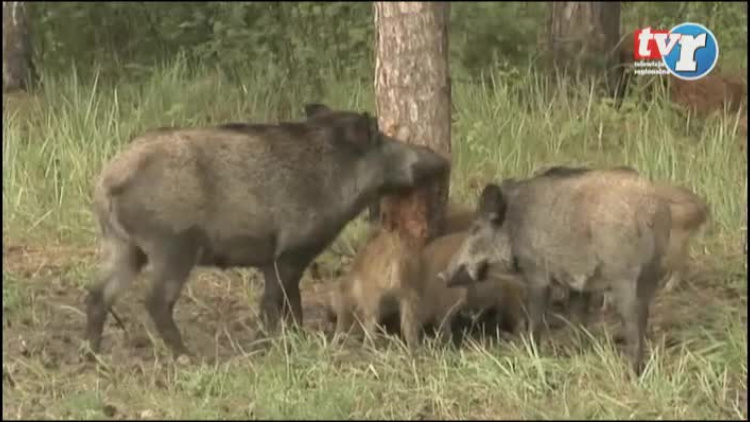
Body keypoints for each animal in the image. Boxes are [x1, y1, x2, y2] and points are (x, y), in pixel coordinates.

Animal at [84, 103, 450, 358]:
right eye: (385, 138)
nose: (443, 159)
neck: (332, 177)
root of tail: (106, 182)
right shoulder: (292, 251)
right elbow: (281, 299)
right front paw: (282, 341)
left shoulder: (271, 258)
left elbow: (281, 299)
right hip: (172, 246)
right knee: (155, 301)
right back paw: (188, 356)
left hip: (122, 246)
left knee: (97, 293)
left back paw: (92, 354)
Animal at [439, 168, 673, 375]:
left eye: (475, 229)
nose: (443, 275)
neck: (515, 226)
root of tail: (653, 211)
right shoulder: (580, 285)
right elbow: (577, 318)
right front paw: (575, 354)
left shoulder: (537, 275)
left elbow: (536, 319)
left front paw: (531, 354)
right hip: (650, 274)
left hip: (625, 278)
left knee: (634, 320)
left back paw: (632, 373)